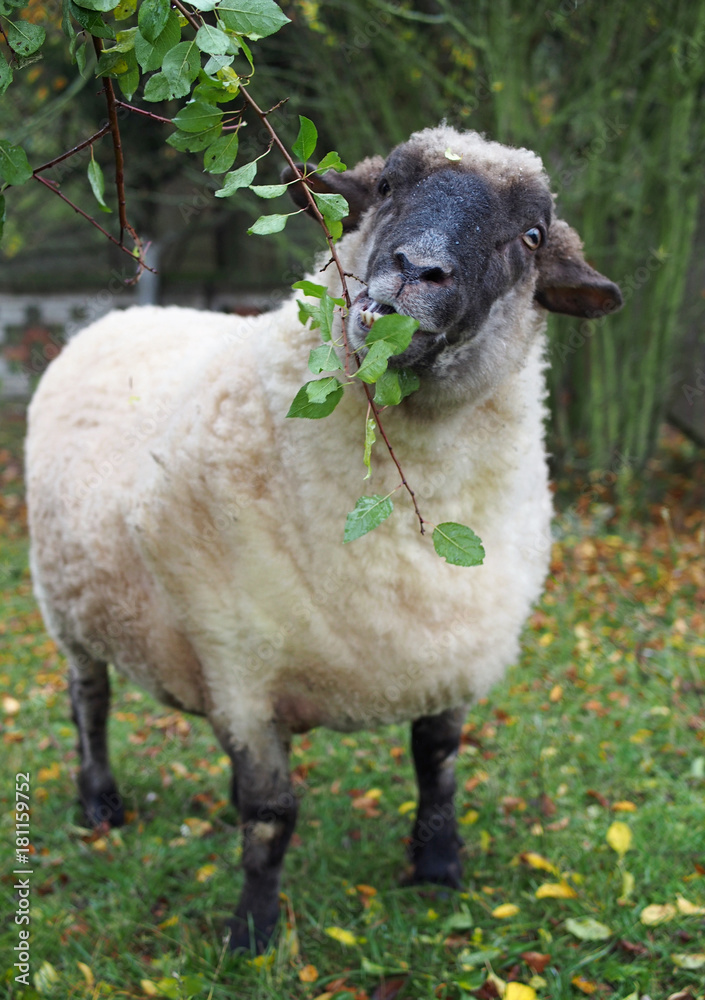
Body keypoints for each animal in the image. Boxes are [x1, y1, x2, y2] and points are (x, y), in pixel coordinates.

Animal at [25, 124, 622, 951]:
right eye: (385, 188)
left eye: (531, 236)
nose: (414, 271)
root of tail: (119, 317)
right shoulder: (239, 665)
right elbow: (272, 814)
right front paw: (251, 934)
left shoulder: (452, 650)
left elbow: (437, 765)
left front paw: (437, 868)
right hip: (68, 603)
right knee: (89, 700)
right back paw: (99, 804)